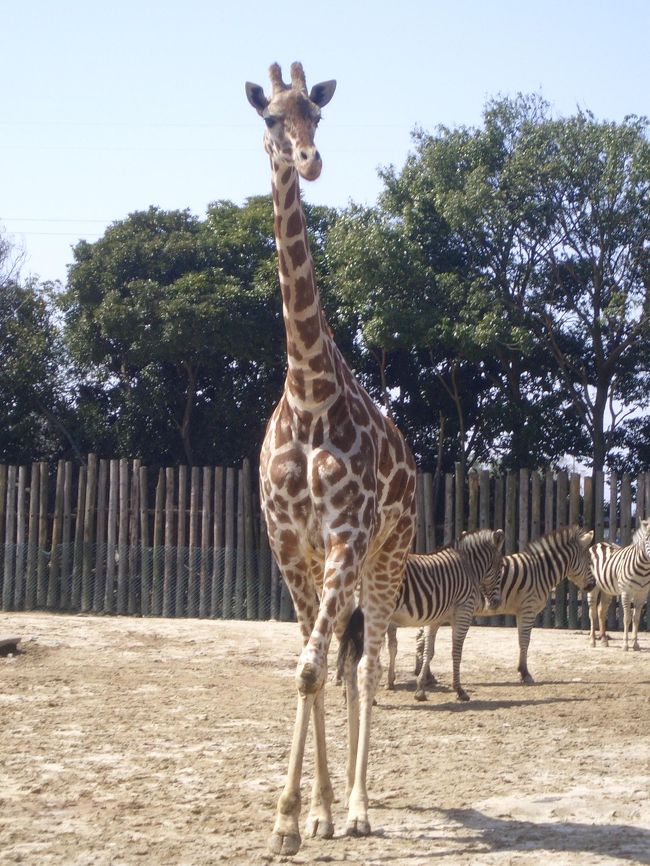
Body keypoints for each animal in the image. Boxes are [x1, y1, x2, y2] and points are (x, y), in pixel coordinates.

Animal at [336, 528, 504, 704]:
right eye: (501, 567)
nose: (497, 603)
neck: (469, 566)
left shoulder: (435, 619)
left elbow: (428, 652)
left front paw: (421, 689)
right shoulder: (464, 611)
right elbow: (456, 651)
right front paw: (459, 690)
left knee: (348, 652)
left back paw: (348, 694)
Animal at [416, 524, 592, 684]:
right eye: (590, 563)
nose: (593, 586)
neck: (541, 571)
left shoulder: (522, 611)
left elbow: (522, 640)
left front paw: (522, 670)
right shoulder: (528, 609)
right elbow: (525, 641)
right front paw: (525, 673)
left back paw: (426, 675)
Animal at [588, 512, 648, 648]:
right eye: (647, 539)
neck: (643, 569)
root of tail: (600, 543)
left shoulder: (642, 594)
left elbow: (636, 618)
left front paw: (635, 644)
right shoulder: (626, 592)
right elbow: (627, 618)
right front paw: (625, 645)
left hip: (607, 589)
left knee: (601, 611)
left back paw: (604, 640)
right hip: (592, 587)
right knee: (592, 612)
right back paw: (592, 641)